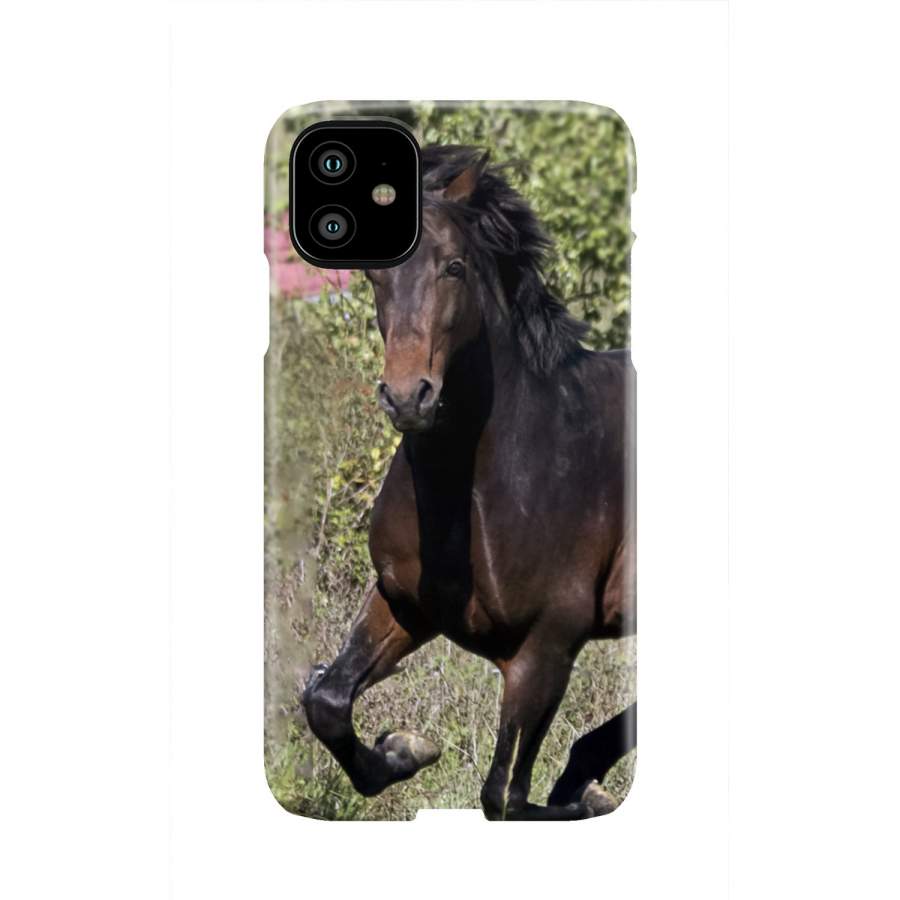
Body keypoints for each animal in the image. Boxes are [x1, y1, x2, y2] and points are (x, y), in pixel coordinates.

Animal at [302, 145, 636, 820]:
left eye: (454, 266)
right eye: (373, 274)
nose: (409, 398)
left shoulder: (546, 648)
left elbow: (502, 795)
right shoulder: (403, 602)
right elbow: (326, 701)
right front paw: (404, 750)